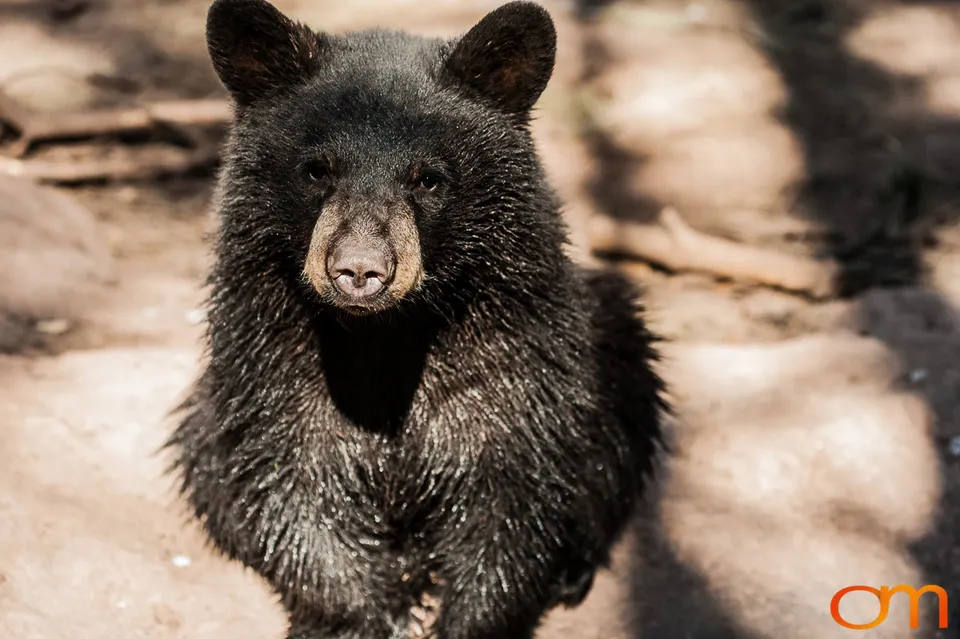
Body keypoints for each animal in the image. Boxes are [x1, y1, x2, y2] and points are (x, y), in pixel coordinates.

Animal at [166, 0, 667, 637]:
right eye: (317, 170)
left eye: (427, 178)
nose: (359, 270)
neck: (387, 330)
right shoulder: (266, 351)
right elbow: (289, 481)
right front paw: (365, 615)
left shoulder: (518, 347)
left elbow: (514, 489)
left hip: (611, 335)